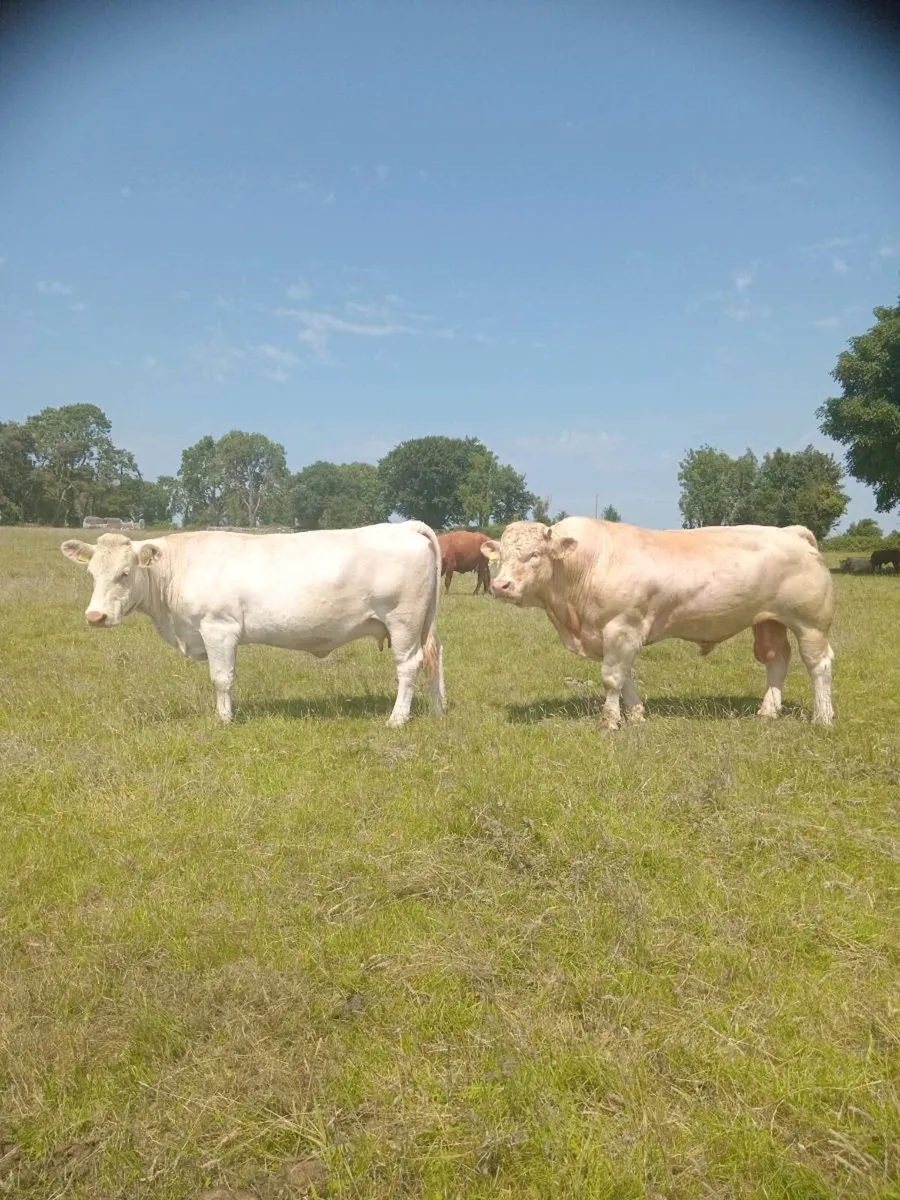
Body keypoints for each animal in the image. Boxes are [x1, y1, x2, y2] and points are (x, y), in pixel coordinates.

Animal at [60, 522, 446, 728]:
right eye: (92, 573)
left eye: (125, 573)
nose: (95, 617)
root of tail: (404, 526)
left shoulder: (218, 628)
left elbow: (221, 679)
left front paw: (224, 720)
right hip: (423, 623)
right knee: (434, 656)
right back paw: (437, 708)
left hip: (403, 621)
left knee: (408, 666)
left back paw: (397, 719)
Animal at [481, 518, 835, 728]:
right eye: (501, 557)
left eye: (534, 555)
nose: (500, 586)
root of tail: (791, 531)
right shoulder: (611, 636)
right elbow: (624, 675)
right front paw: (636, 713)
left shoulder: (622, 627)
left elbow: (611, 678)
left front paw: (610, 721)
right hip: (769, 621)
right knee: (777, 659)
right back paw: (768, 711)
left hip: (811, 623)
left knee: (819, 664)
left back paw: (822, 716)